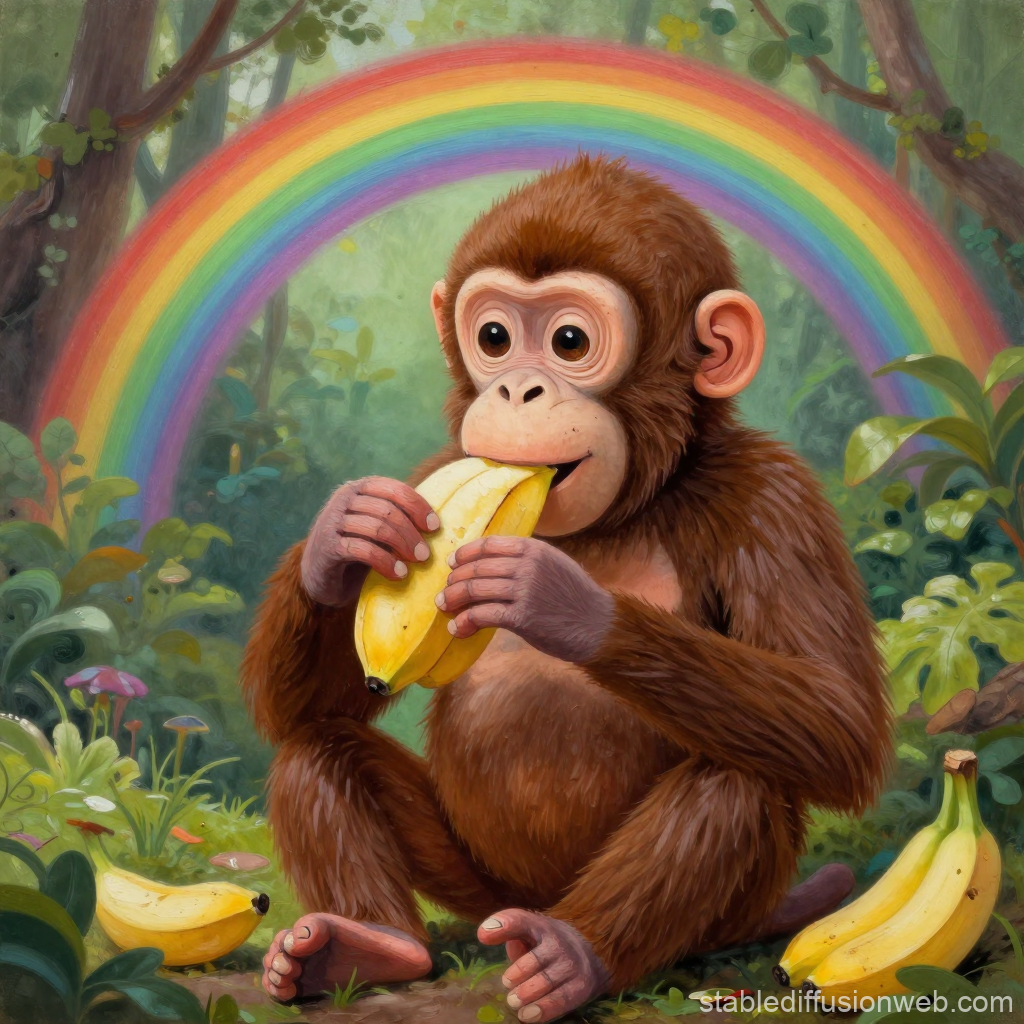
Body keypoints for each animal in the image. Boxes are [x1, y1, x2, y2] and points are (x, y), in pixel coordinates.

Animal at [241, 155, 892, 1023]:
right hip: (477, 884)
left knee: (740, 776)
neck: (621, 509)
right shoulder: (435, 469)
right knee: (317, 747)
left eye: (569, 341)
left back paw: (573, 957)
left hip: (705, 906)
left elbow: (839, 714)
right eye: (493, 337)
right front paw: (343, 535)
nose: (517, 390)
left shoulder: (774, 500)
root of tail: (533, 905)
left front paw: (562, 602)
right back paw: (366, 945)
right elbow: (308, 709)